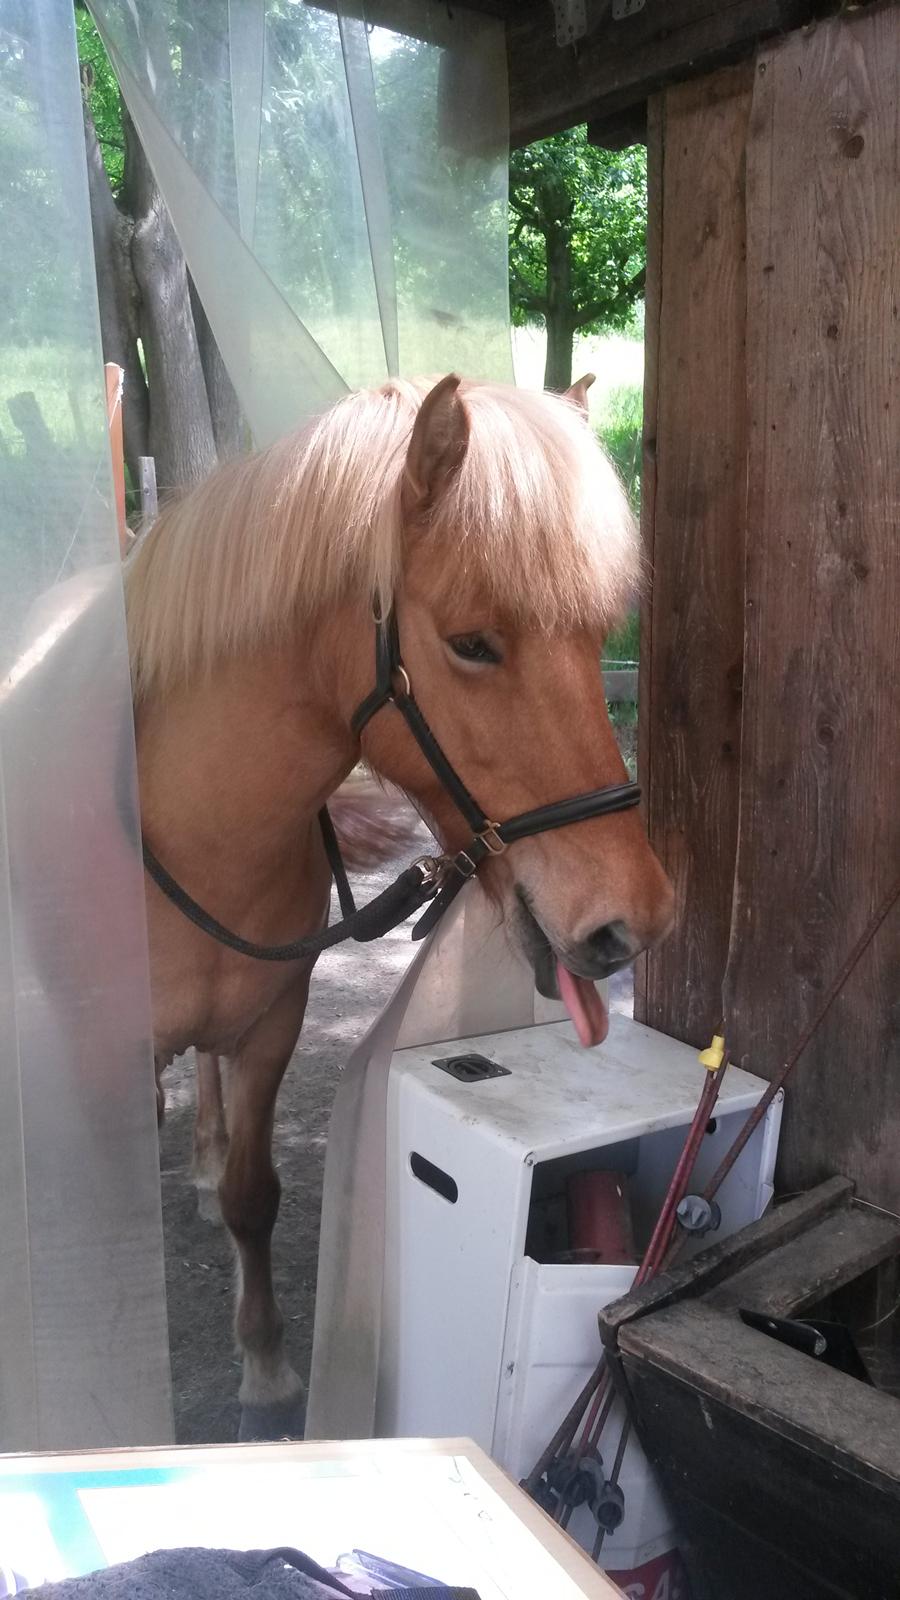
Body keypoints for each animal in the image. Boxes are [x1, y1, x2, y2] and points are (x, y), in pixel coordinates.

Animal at [127, 372, 675, 1439]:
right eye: (471, 644)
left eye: (597, 638)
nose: (631, 919)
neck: (187, 837)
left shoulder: (272, 1022)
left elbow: (255, 1194)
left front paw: (266, 1368)